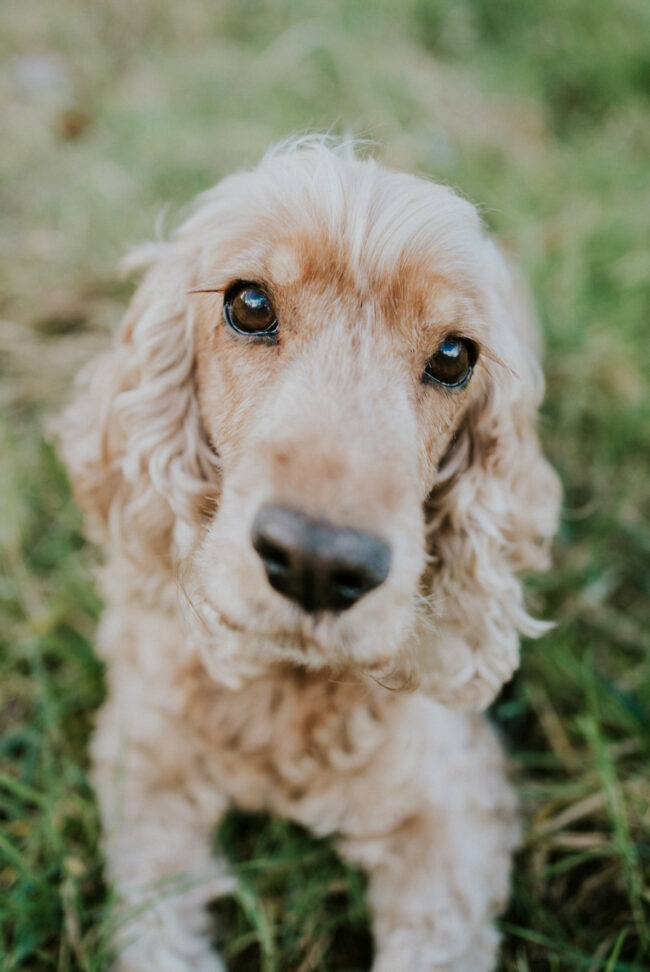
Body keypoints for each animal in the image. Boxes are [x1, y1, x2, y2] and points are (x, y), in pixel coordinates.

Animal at [58, 137, 560, 972]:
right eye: (251, 305)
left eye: (454, 355)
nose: (321, 564)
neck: (286, 691)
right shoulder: (146, 769)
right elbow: (158, 930)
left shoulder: (456, 814)